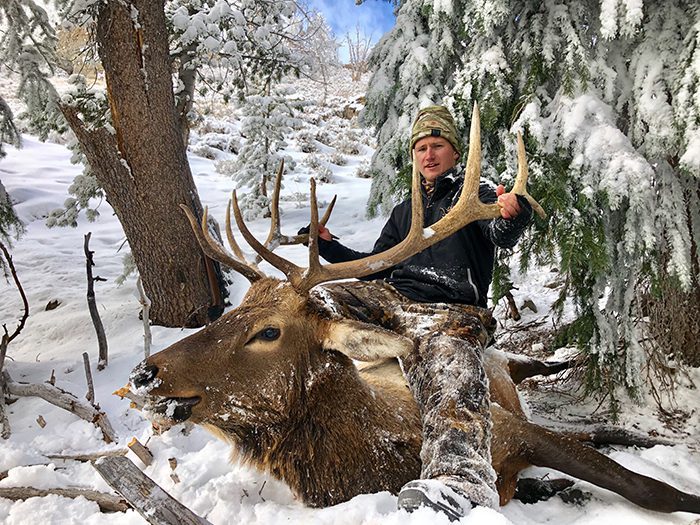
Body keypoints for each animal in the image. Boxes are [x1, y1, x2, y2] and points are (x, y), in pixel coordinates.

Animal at [127, 105, 700, 516]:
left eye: (268, 332)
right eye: (231, 313)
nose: (144, 373)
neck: (382, 452)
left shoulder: (507, 427)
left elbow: (650, 490)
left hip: (496, 355)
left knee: (542, 367)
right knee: (576, 415)